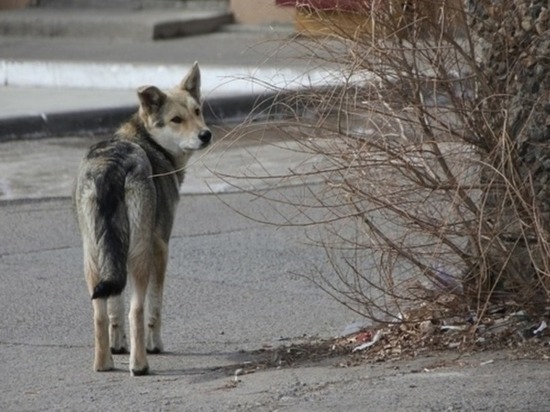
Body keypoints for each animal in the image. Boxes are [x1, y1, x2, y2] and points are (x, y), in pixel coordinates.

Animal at [73, 62, 211, 374]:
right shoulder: (160, 248)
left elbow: (114, 309)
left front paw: (118, 346)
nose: (206, 135)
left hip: (93, 258)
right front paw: (154, 345)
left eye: (197, 111)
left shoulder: (114, 255)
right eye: (176, 120)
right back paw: (140, 365)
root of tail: (111, 165)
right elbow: (154, 308)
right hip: (140, 257)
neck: (148, 141)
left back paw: (103, 364)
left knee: (99, 312)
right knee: (137, 309)